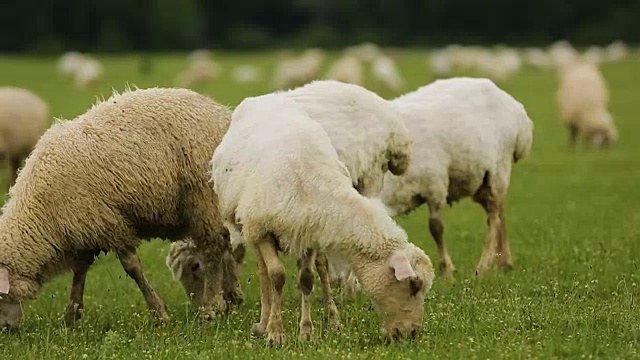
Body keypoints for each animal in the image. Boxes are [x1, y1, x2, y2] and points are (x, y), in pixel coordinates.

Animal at [0, 86, 242, 330]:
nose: (6, 329)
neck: (39, 214)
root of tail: (222, 112)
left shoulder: (110, 223)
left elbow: (132, 268)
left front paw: (159, 313)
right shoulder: (85, 229)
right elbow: (80, 271)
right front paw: (72, 315)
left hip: (204, 197)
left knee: (213, 248)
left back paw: (211, 307)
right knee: (225, 244)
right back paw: (231, 298)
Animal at [214, 93, 436, 344]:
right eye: (414, 285)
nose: (412, 334)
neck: (313, 183)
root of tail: (264, 97)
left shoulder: (309, 235)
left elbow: (307, 279)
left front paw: (306, 332)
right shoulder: (262, 230)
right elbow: (277, 276)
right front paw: (275, 332)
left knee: (321, 268)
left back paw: (331, 319)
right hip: (249, 225)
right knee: (263, 271)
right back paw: (263, 321)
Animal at [380, 77, 536, 280]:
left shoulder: (435, 184)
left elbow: (436, 228)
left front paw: (447, 271)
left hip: (499, 168)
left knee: (494, 217)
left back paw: (484, 266)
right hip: (480, 181)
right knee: (500, 211)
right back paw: (506, 263)